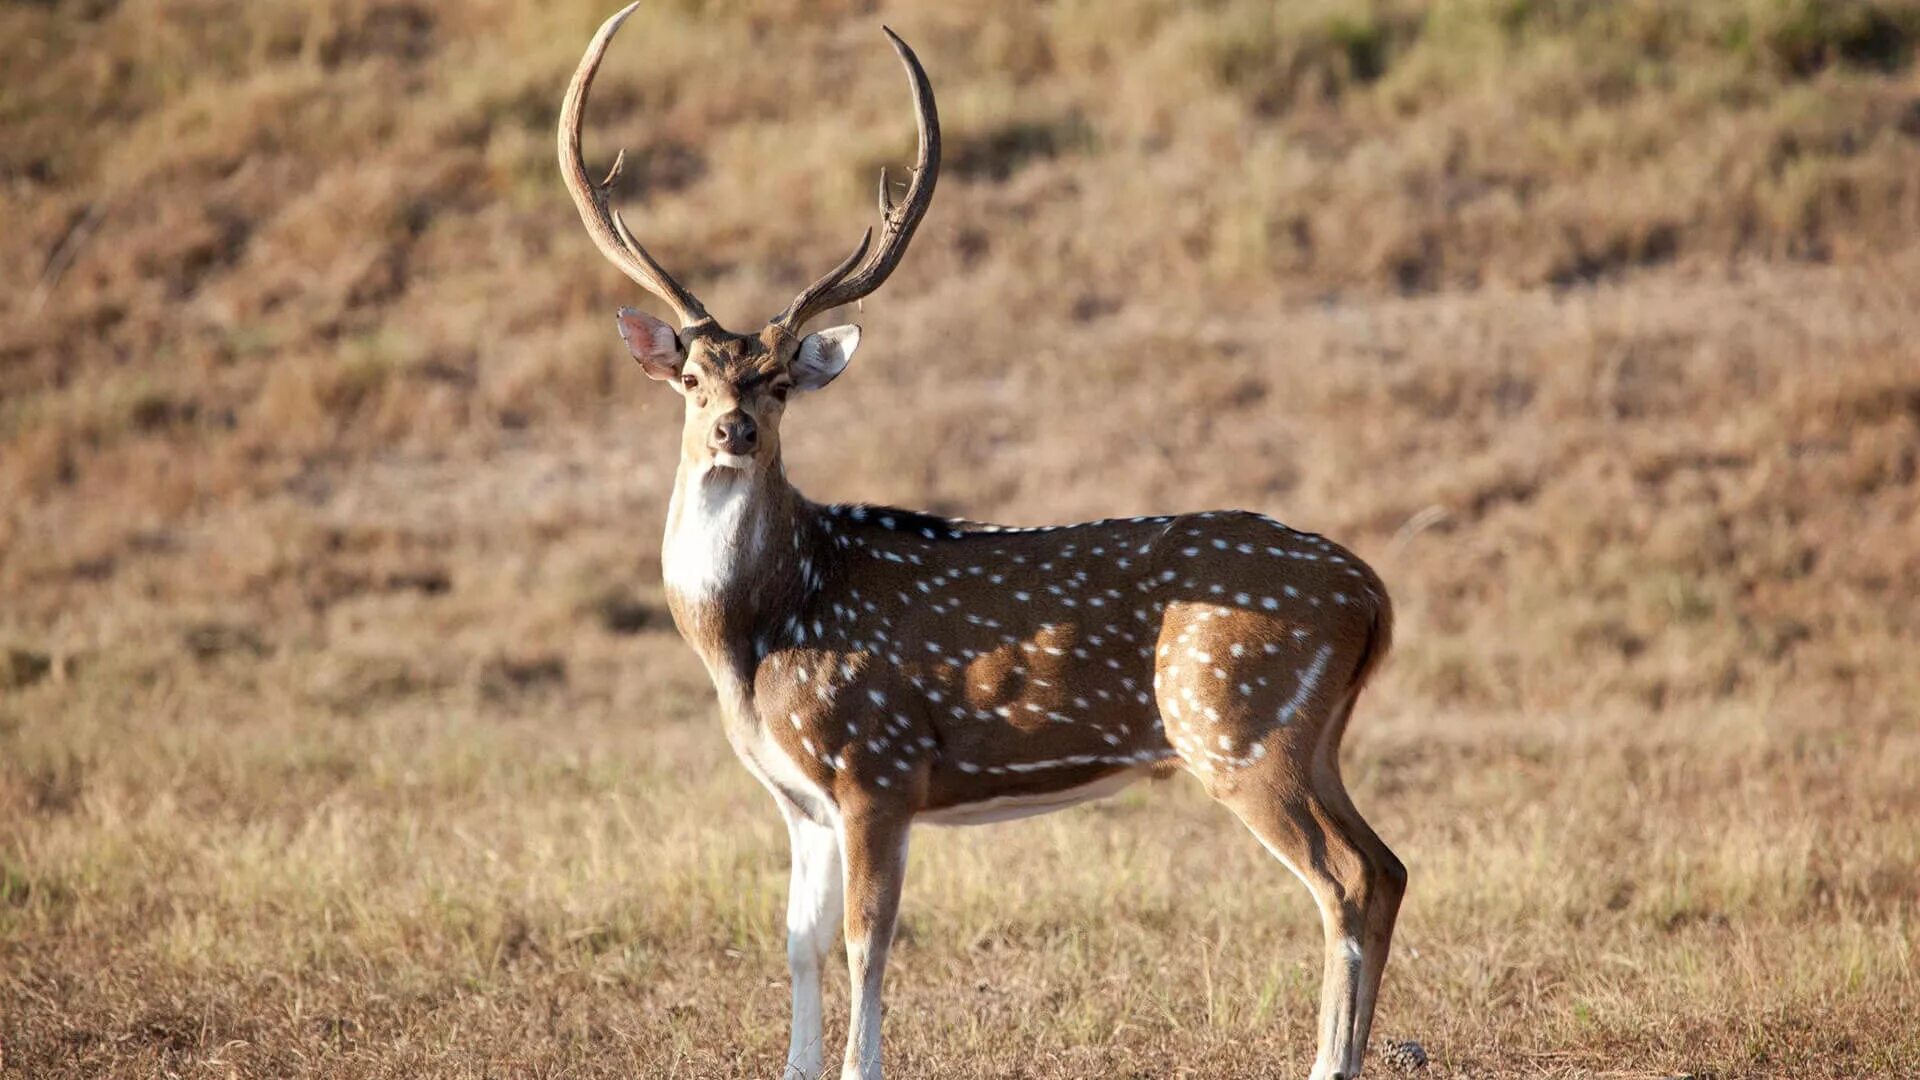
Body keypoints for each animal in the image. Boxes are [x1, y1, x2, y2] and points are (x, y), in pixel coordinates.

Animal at [560, 4, 1405, 1068]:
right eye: (690, 378)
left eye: (780, 381)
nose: (733, 431)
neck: (758, 633)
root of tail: (1375, 595)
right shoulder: (800, 798)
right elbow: (797, 940)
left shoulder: (877, 764)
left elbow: (867, 941)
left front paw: (860, 1068)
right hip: (1312, 734)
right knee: (1388, 866)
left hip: (1238, 725)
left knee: (1347, 879)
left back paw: (1327, 1060)